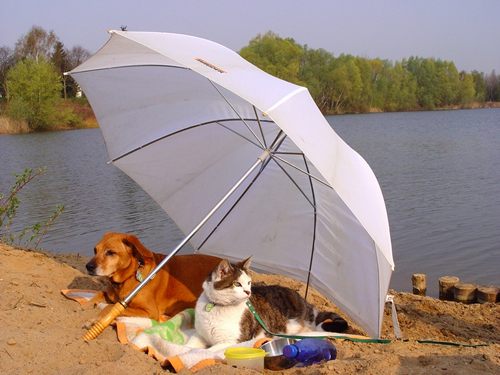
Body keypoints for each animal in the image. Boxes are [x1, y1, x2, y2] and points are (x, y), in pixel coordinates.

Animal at [86, 232, 221, 320]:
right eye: (95, 250)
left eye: (110, 252)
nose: (88, 266)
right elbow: (99, 294)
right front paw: (87, 305)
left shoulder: (149, 311)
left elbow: (110, 307)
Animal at [188, 258, 348, 352]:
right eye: (237, 284)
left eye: (249, 283)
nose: (248, 292)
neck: (216, 306)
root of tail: (304, 301)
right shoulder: (200, 335)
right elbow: (189, 346)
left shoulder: (233, 341)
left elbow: (206, 352)